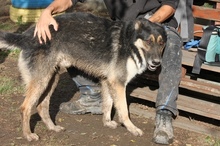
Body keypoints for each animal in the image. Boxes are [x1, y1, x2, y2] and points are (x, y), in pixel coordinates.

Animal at [0, 12, 167, 141]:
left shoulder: (108, 81)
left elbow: (108, 104)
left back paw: (53, 128)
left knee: (42, 106)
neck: (129, 41)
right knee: (25, 108)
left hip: (51, 79)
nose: (157, 62)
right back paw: (28, 135)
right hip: (41, 81)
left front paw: (107, 122)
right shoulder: (118, 84)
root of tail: (27, 35)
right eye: (148, 41)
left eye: (161, 43)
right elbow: (124, 111)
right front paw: (132, 129)